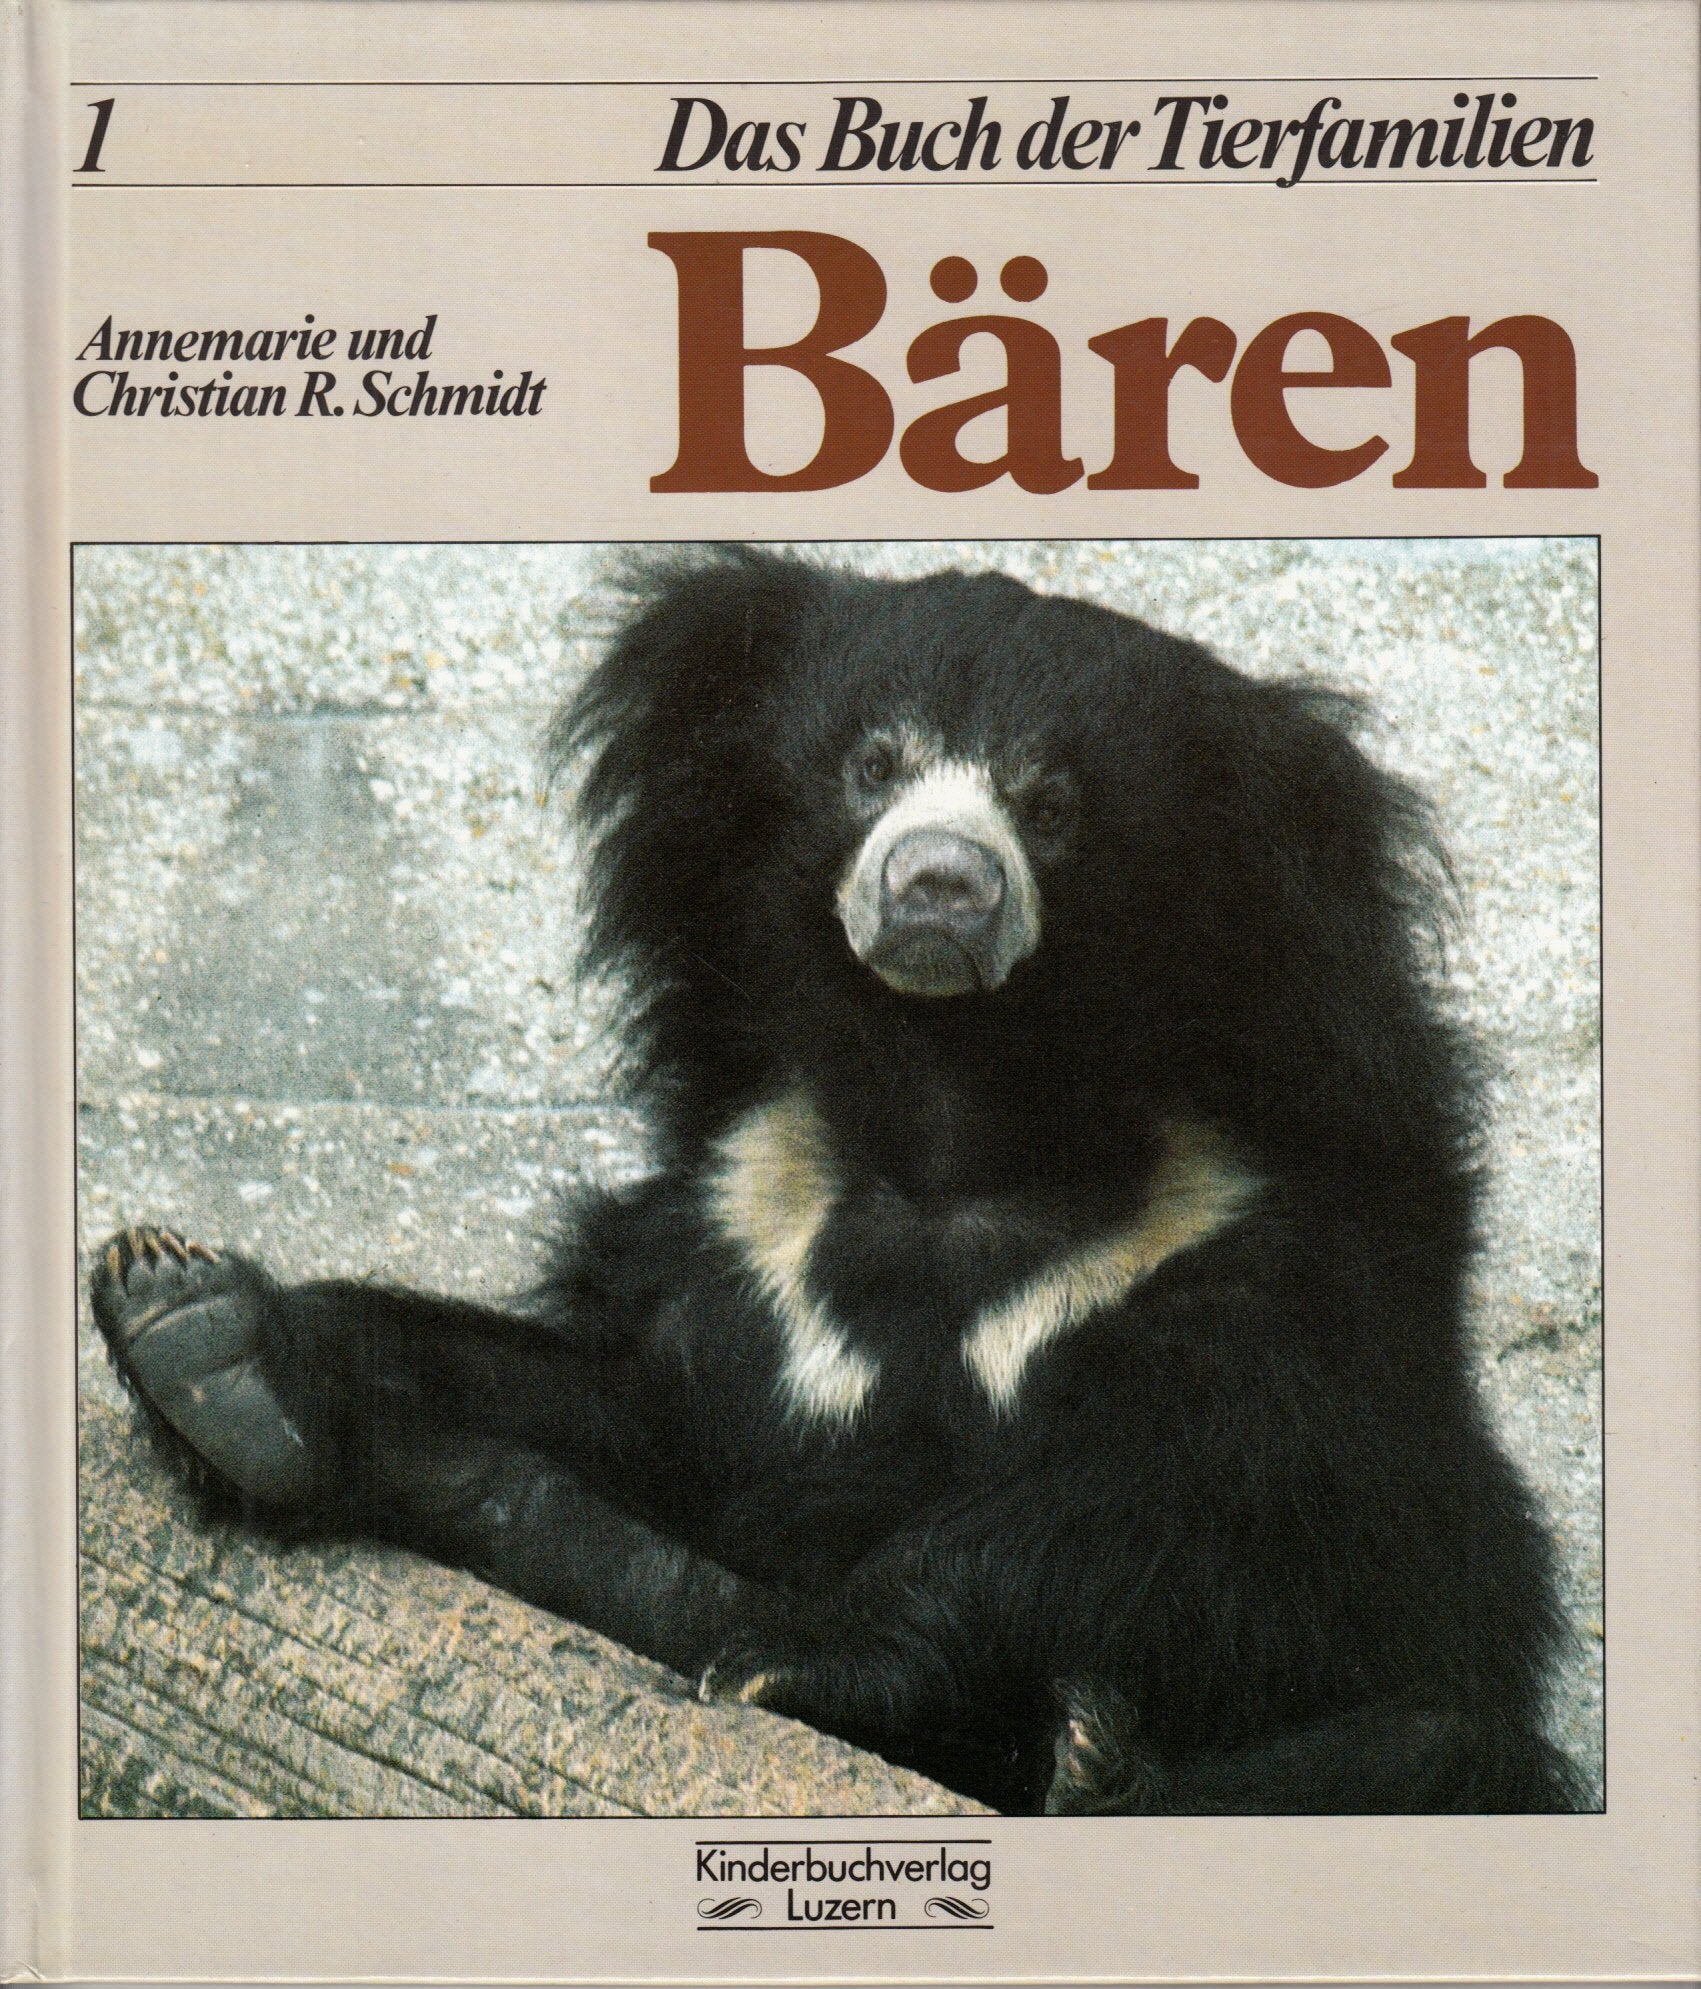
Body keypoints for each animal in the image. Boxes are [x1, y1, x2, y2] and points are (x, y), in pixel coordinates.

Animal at [91, 546, 1583, 1815]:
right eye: (876, 762)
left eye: (1051, 804)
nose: (940, 886)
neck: (952, 1115)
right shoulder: (747, 1220)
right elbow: (621, 1396)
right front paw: (208, 1334)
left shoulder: (1242, 1250)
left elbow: (1187, 1490)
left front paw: (802, 1656)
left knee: (1432, 1745)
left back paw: (1092, 1761)